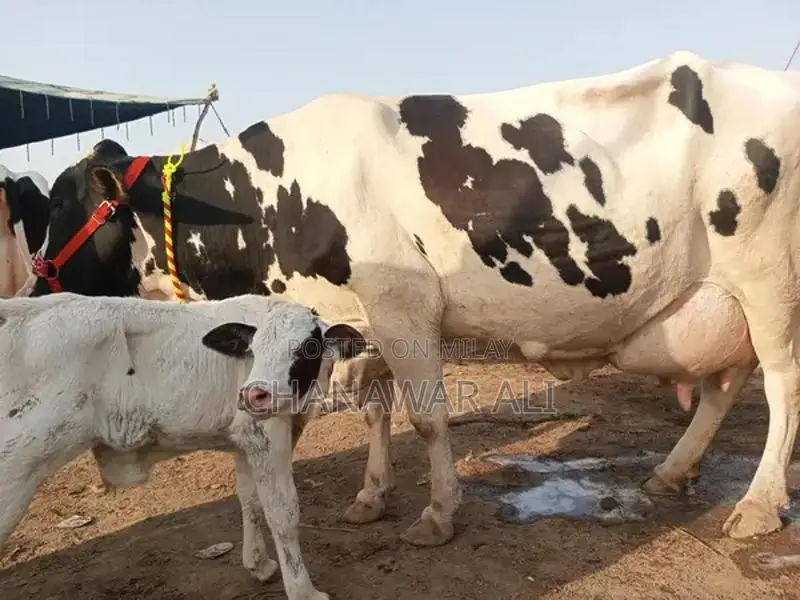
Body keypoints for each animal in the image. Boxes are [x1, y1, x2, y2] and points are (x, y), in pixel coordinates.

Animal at [0, 291, 364, 600]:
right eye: (254, 350)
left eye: (306, 348)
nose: (253, 394)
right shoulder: (267, 433)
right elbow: (282, 512)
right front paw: (304, 591)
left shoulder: (245, 440)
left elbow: (250, 500)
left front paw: (258, 563)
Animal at [26, 50, 800, 547]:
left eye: (60, 206)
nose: (32, 285)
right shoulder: (356, 322)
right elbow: (375, 409)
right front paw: (371, 497)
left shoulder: (401, 304)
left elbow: (427, 418)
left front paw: (438, 515)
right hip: (716, 297)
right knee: (724, 386)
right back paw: (673, 472)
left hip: (770, 277)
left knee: (782, 383)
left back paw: (758, 506)